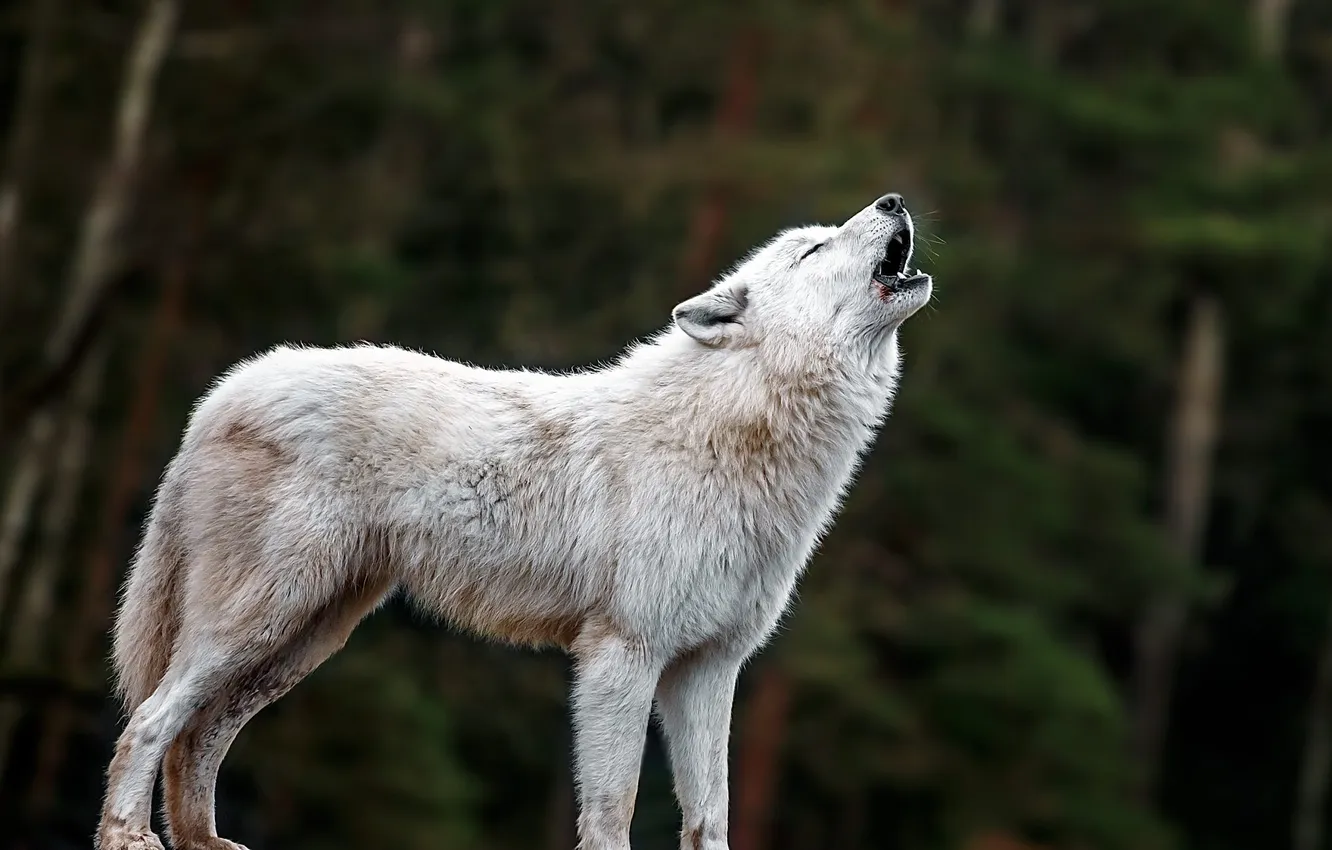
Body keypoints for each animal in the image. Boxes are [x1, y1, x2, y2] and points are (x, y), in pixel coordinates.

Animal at [95, 192, 933, 850]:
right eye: (814, 247)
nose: (894, 199)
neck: (734, 432)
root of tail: (225, 390)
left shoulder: (708, 669)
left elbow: (710, 818)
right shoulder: (620, 656)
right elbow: (613, 812)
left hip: (304, 638)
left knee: (198, 735)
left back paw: (203, 841)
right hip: (258, 620)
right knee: (150, 719)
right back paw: (129, 835)